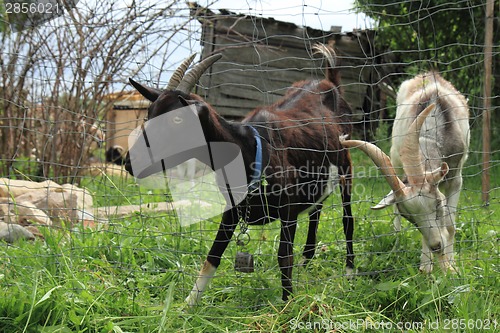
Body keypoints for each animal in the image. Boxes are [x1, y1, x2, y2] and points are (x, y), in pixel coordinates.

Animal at [123, 44, 354, 306]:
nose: (130, 162)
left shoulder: (287, 208)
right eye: (149, 113)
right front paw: (187, 305)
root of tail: (330, 81)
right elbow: (212, 256)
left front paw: (287, 304)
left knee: (347, 219)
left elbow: (284, 256)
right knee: (317, 210)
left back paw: (349, 273)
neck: (250, 148)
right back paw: (307, 260)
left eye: (177, 119)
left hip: (346, 165)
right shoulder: (232, 209)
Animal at [342, 72, 470, 272]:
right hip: (396, 159)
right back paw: (396, 241)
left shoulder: (456, 178)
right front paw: (426, 268)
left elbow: (450, 225)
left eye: (437, 205)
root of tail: (428, 74)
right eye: (411, 219)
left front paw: (451, 267)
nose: (436, 246)